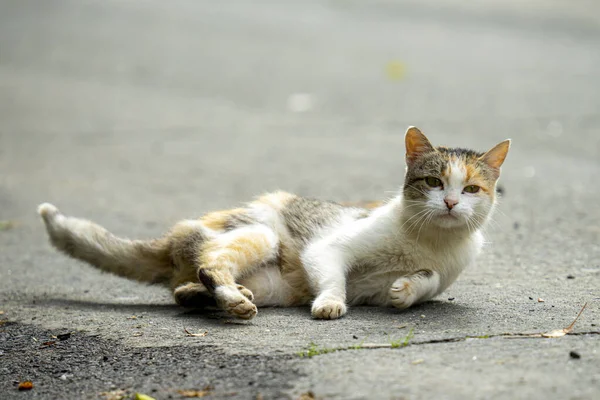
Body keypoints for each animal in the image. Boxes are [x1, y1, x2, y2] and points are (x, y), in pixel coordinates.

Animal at [37, 126, 508, 320]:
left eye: (471, 189)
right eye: (433, 182)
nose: (450, 203)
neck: (428, 241)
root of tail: (173, 236)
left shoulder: (437, 273)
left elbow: (429, 281)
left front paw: (406, 288)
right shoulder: (328, 248)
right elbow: (334, 277)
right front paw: (331, 303)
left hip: (274, 286)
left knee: (187, 288)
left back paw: (217, 297)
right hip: (259, 232)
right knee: (211, 266)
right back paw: (232, 299)